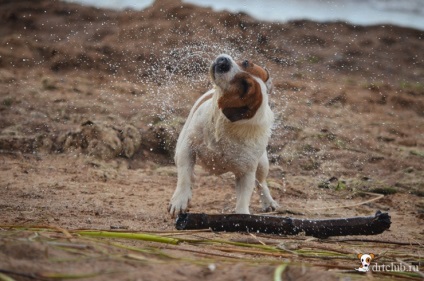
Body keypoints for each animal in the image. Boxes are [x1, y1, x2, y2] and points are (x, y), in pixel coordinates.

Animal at [167, 54, 280, 217]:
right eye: (245, 62)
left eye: (244, 85)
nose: (223, 61)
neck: (227, 125)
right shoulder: (187, 149)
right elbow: (184, 177)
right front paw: (179, 201)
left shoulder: (246, 173)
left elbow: (244, 198)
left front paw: (242, 214)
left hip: (262, 163)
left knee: (261, 183)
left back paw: (268, 202)